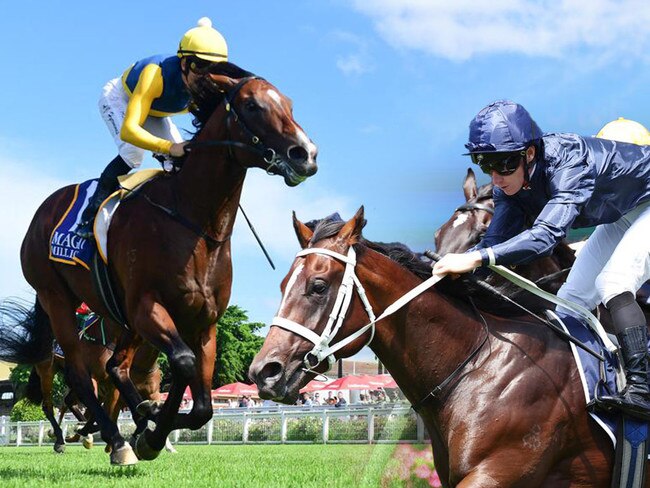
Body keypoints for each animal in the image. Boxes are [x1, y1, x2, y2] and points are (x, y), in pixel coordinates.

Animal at [3, 62, 316, 466]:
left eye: (289, 104)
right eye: (251, 105)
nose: (305, 154)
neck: (193, 220)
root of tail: (43, 211)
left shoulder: (202, 322)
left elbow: (200, 401)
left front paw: (152, 425)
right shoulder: (147, 307)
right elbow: (182, 364)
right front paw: (148, 431)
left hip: (122, 320)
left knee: (115, 367)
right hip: (56, 297)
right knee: (77, 375)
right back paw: (112, 440)